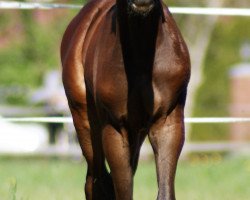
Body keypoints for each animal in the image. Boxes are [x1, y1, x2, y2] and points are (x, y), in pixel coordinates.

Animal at [60, 0, 189, 199]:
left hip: (136, 133)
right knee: (95, 179)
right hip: (85, 123)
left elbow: (165, 191)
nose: (142, 1)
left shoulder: (168, 123)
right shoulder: (115, 128)